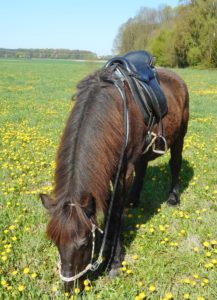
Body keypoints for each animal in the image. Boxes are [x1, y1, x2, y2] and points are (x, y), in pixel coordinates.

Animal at [40, 58, 188, 292]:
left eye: (84, 242)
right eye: (55, 241)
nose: (69, 288)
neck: (114, 112)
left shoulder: (123, 171)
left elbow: (116, 212)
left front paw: (114, 262)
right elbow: (110, 205)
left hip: (180, 135)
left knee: (175, 163)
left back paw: (173, 198)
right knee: (143, 167)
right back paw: (134, 200)